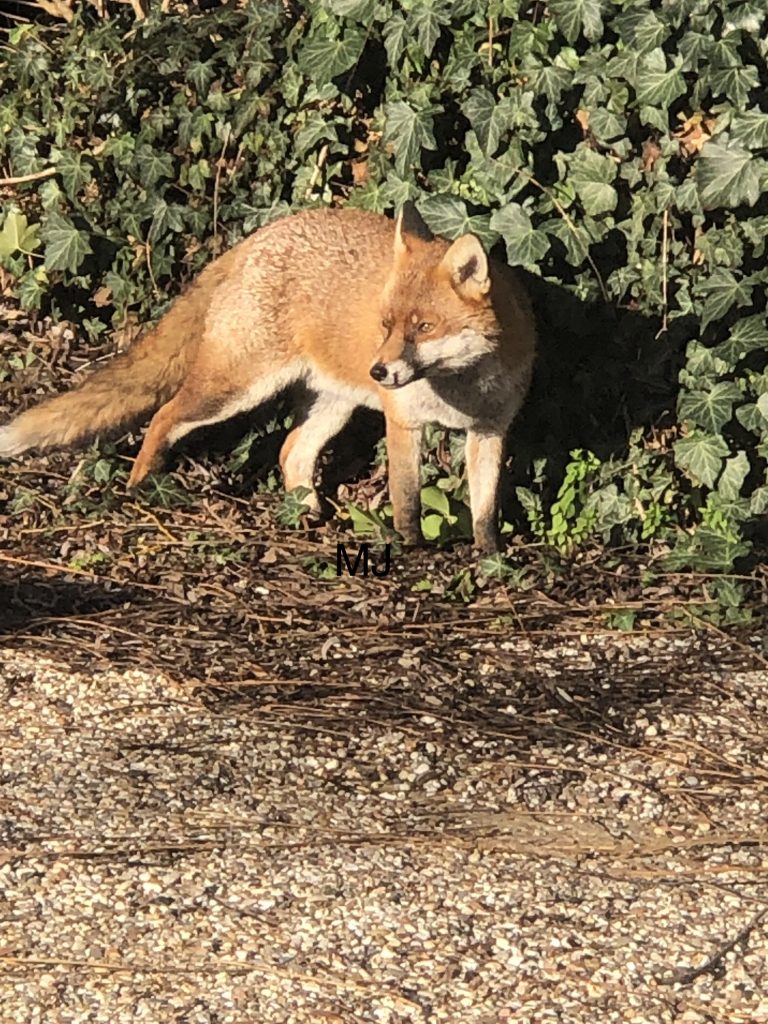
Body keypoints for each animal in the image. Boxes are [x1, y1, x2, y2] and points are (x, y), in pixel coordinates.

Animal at [0, 203, 536, 552]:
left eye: (424, 328)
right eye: (385, 325)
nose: (379, 370)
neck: (461, 390)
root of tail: (259, 237)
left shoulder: (491, 431)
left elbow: (485, 507)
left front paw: (489, 559)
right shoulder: (403, 422)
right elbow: (405, 498)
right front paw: (409, 549)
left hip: (332, 405)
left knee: (290, 451)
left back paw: (307, 515)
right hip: (234, 388)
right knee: (163, 416)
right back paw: (142, 485)